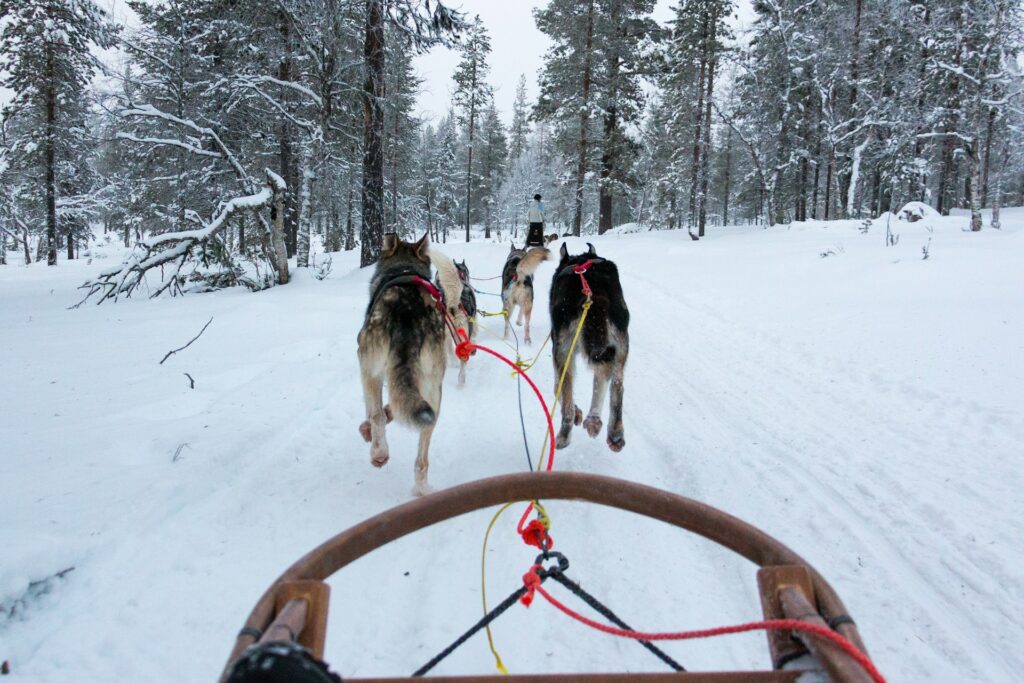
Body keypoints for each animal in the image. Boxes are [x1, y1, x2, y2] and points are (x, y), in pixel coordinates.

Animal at [548, 242, 626, 450]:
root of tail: (595, 295)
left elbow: (558, 387)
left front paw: (576, 412)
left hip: (563, 350)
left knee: (566, 397)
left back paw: (565, 434)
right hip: (620, 348)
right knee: (615, 385)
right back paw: (607, 428)